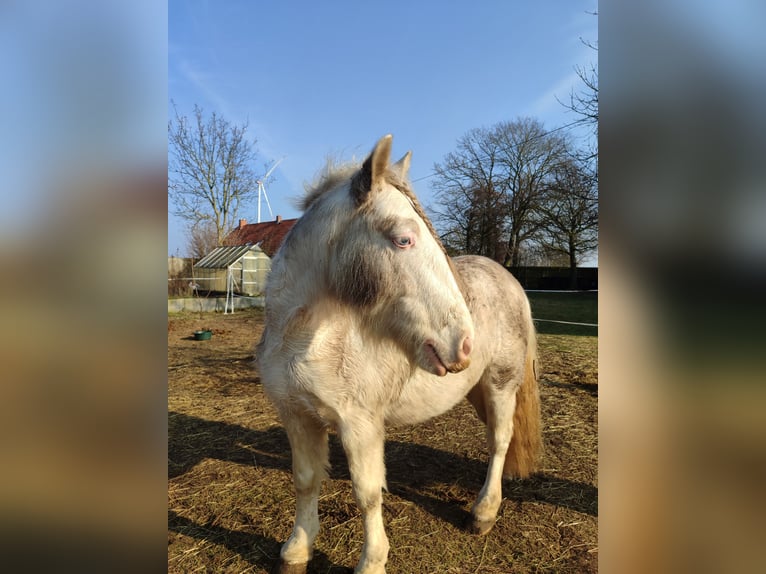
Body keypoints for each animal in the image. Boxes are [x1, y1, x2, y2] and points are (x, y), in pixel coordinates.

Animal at [255, 136, 544, 574]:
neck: (308, 340)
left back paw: (483, 512)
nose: (464, 343)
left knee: (499, 440)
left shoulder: (359, 425)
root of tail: (508, 279)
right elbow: (305, 480)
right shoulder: (297, 416)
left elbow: (367, 493)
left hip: (501, 384)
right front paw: (296, 552)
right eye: (403, 239)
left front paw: (372, 561)